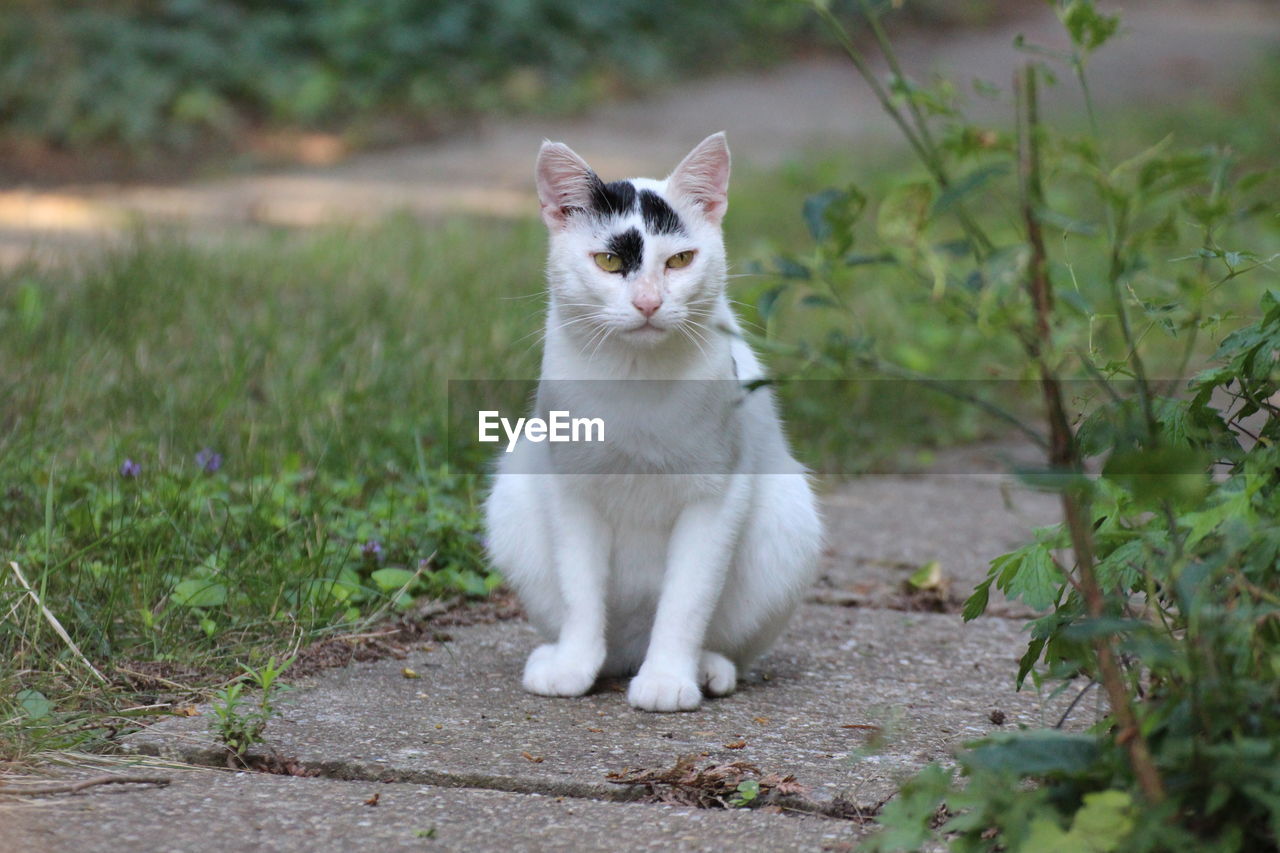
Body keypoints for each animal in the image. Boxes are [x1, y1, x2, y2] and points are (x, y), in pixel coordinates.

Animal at [483, 133, 824, 712]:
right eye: (608, 261)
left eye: (681, 260)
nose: (648, 302)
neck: (636, 381)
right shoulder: (571, 488)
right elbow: (580, 591)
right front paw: (572, 666)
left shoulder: (716, 495)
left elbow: (687, 599)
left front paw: (667, 678)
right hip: (512, 497)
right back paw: (570, 658)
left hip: (790, 521)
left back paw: (708, 668)